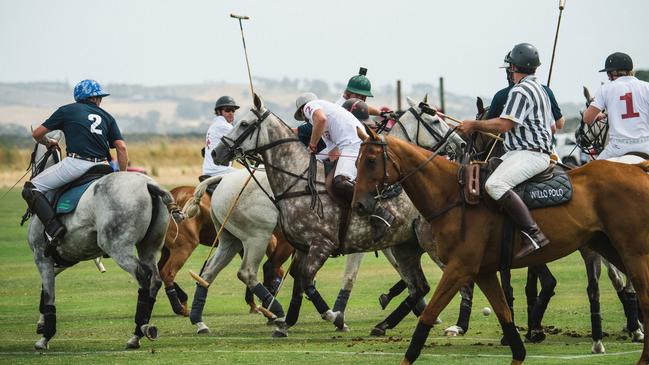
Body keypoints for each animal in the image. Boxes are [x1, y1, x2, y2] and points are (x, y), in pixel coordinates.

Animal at [26, 131, 180, 350]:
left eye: (32, 155)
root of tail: (148, 185)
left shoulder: (41, 257)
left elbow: (49, 295)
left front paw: (45, 337)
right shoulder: (65, 258)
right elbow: (45, 289)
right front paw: (41, 325)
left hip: (117, 246)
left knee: (143, 275)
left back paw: (140, 329)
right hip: (148, 247)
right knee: (155, 279)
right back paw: (138, 333)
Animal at [157, 185, 292, 316]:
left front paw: (254, 304)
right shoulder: (267, 241)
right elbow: (275, 269)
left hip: (167, 250)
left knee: (159, 271)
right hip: (185, 246)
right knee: (168, 273)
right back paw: (180, 308)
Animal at [213, 94, 446, 336]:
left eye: (244, 124)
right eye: (435, 120)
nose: (216, 152)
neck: (297, 180)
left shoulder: (322, 244)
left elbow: (308, 280)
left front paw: (335, 317)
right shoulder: (306, 247)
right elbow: (301, 282)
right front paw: (292, 321)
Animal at [352, 130, 648, 364]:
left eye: (370, 161)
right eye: (356, 161)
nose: (359, 205)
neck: (451, 196)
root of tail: (637, 167)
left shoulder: (460, 268)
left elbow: (426, 319)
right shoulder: (482, 271)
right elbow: (507, 320)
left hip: (632, 250)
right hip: (608, 246)